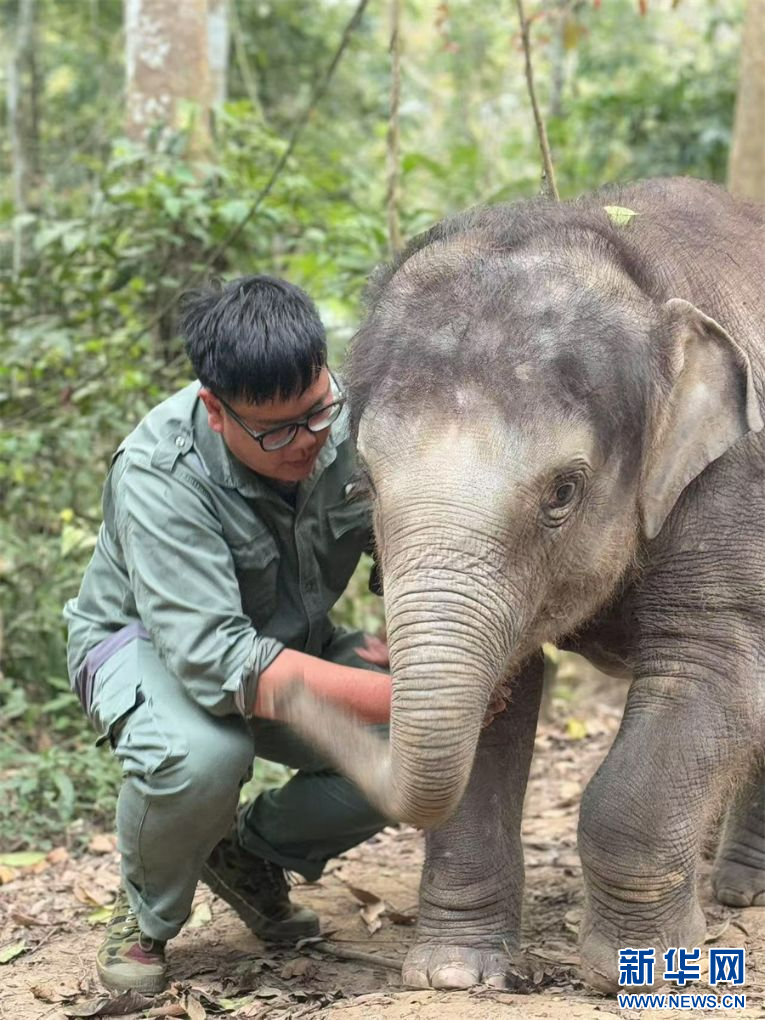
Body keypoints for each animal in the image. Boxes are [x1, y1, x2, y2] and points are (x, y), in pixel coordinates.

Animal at [277, 177, 765, 993]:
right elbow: (497, 704)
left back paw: (738, 894)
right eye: (362, 484)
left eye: (563, 491)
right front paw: (452, 974)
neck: (625, 259)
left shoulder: (736, 480)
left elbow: (711, 670)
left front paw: (642, 971)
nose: (281, 688)